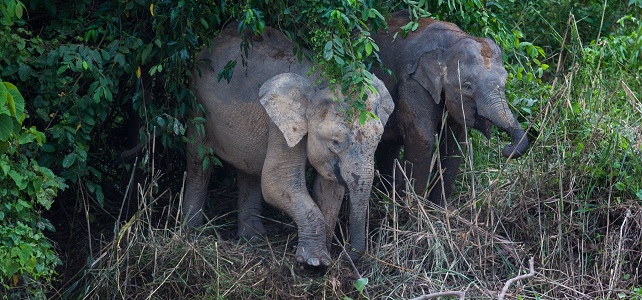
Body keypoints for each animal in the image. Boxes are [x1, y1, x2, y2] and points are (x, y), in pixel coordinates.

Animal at [182, 25, 392, 264]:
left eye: (377, 139)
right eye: (335, 142)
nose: (346, 254)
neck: (319, 82)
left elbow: (329, 189)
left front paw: (324, 259)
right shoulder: (279, 128)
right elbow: (277, 183)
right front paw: (313, 263)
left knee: (248, 169)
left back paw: (252, 238)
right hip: (196, 102)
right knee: (198, 161)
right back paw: (193, 232)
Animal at [372, 10, 528, 205]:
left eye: (505, 83)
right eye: (467, 86)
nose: (507, 147)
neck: (450, 45)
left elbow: (455, 142)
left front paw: (441, 208)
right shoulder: (412, 83)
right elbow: (422, 139)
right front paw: (415, 209)